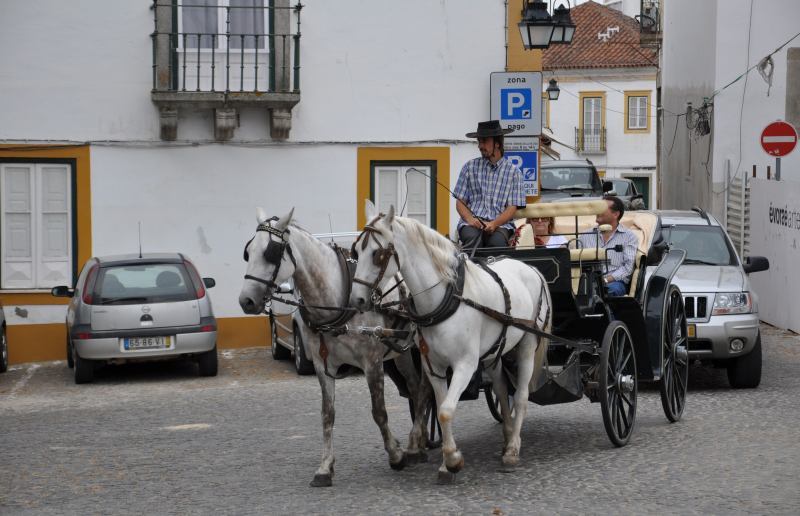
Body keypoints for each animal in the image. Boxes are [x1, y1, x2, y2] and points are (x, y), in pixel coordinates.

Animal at [241, 208, 434, 486]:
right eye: (248, 251)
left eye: (271, 252)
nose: (246, 300)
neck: (336, 301)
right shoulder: (323, 366)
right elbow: (327, 414)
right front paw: (324, 467)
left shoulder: (372, 363)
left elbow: (379, 412)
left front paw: (395, 455)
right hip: (402, 352)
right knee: (416, 389)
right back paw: (419, 441)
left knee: (426, 389)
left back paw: (414, 445)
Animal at [354, 202, 552, 484]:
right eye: (356, 251)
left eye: (377, 254)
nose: (357, 299)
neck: (445, 299)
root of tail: (531, 269)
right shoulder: (433, 366)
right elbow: (439, 407)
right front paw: (447, 461)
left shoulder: (465, 364)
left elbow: (447, 409)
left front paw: (452, 460)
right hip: (494, 352)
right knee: (502, 389)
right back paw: (506, 436)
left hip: (526, 344)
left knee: (522, 395)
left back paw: (513, 449)